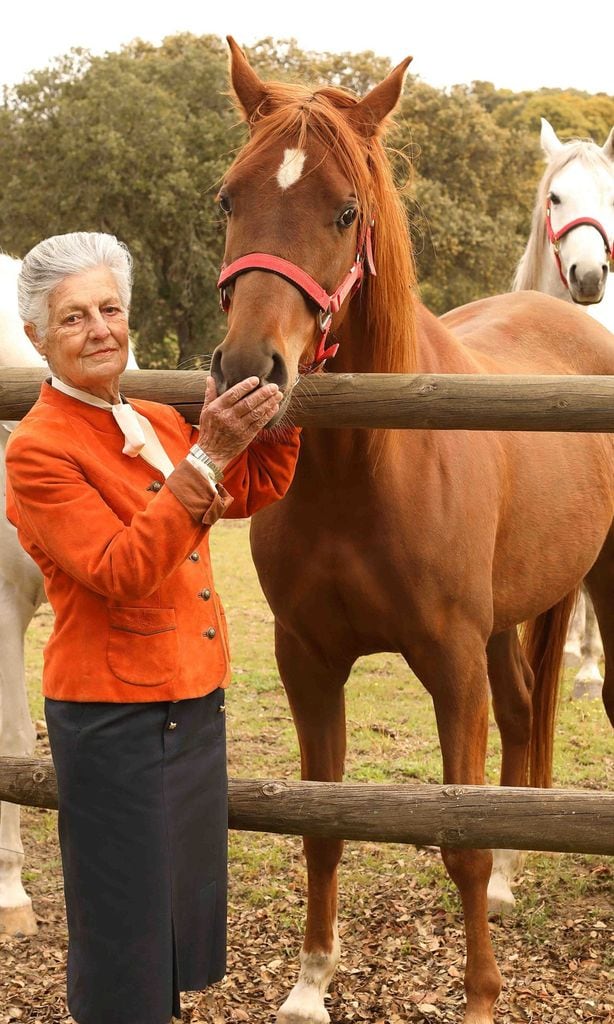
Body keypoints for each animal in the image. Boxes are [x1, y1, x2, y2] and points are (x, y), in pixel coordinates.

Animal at [211, 40, 614, 1024]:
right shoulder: (308, 660)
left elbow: (457, 834)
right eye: (229, 199)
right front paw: (311, 983)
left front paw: (480, 999)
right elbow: (321, 825)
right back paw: (510, 878)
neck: (369, 466)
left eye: (345, 209)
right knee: (523, 717)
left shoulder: (450, 663)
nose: (247, 370)